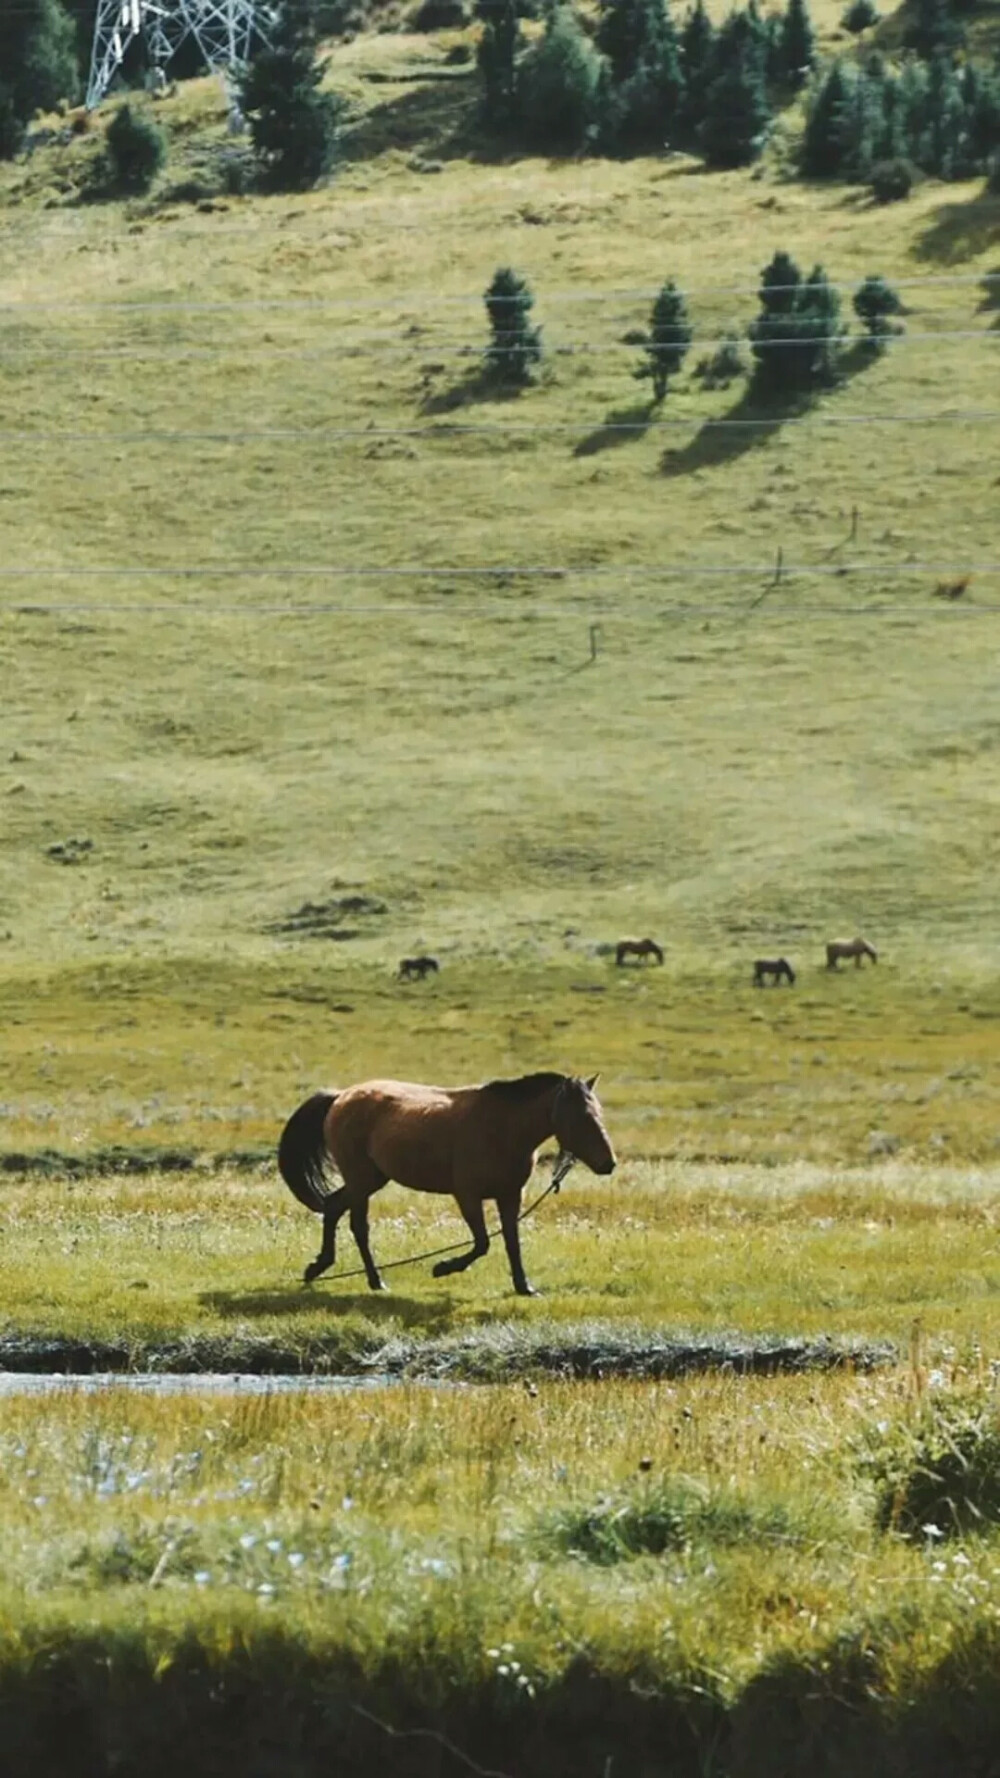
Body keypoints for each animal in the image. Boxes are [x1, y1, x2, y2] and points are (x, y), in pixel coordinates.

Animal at [275, 1059, 612, 1301]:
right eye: (581, 1117)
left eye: (599, 1111)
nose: (609, 1163)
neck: (502, 1129)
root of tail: (340, 1097)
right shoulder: (467, 1195)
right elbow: (482, 1243)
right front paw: (443, 1268)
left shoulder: (510, 1195)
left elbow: (511, 1241)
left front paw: (524, 1286)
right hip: (360, 1178)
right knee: (358, 1226)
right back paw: (374, 1280)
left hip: (371, 1178)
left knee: (333, 1206)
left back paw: (321, 1268)